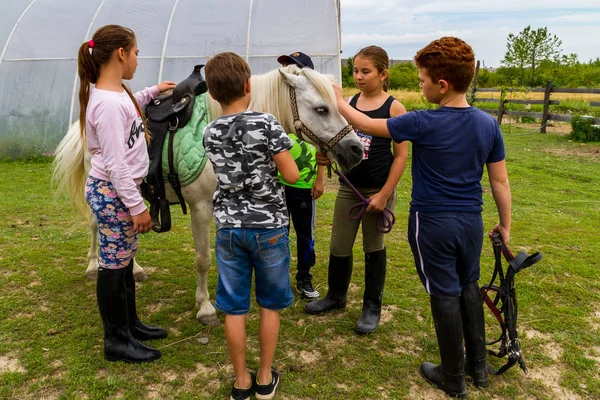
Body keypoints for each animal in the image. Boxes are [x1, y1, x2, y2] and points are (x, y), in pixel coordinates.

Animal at [52, 65, 360, 324]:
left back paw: (136, 270)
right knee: (97, 226)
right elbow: (203, 259)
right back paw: (93, 265)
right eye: (321, 109)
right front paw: (206, 307)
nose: (356, 150)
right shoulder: (200, 208)